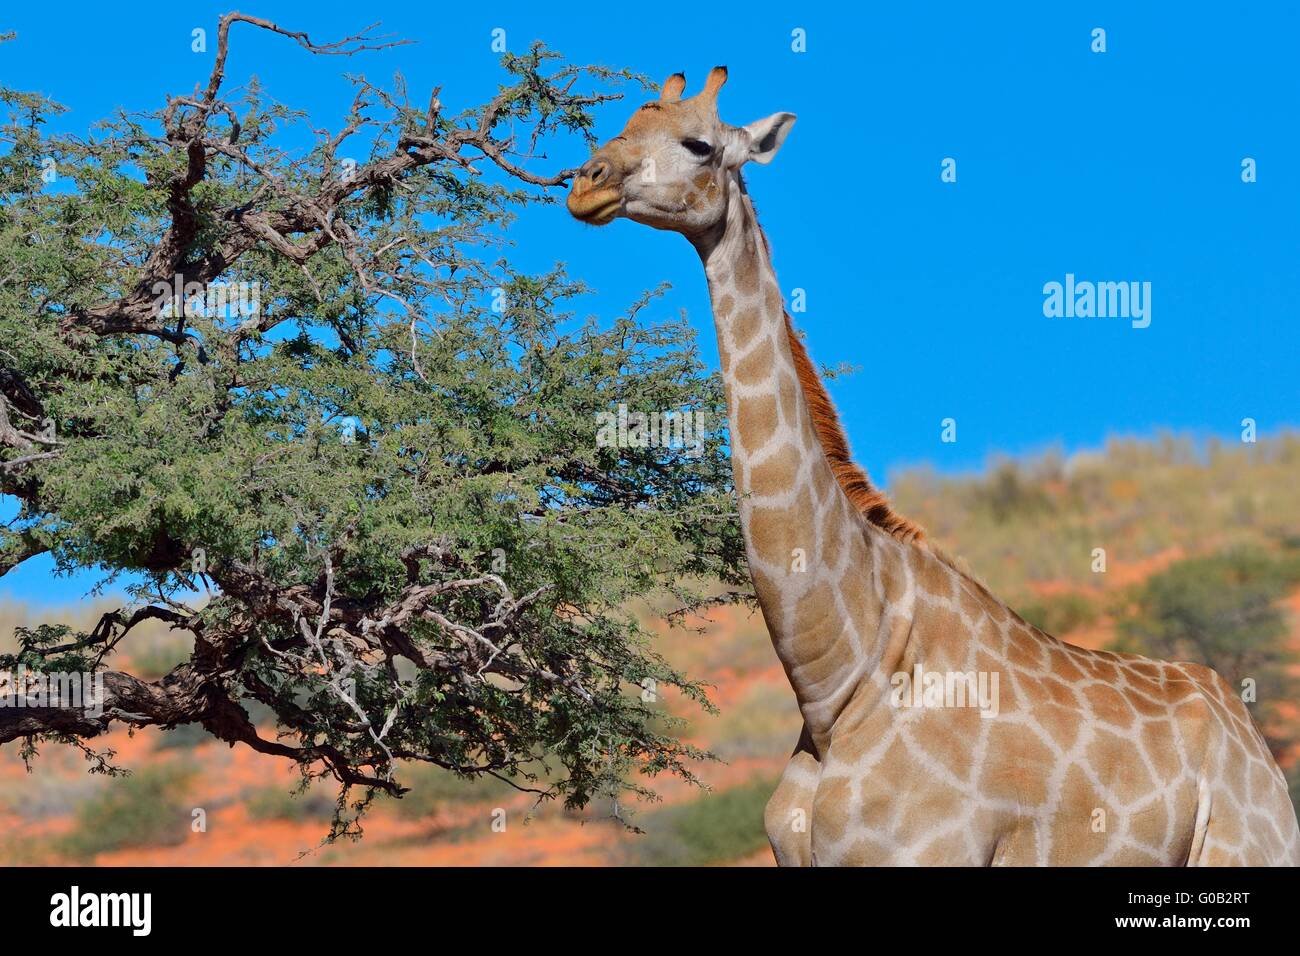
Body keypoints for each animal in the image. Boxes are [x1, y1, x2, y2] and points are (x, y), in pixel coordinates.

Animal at [566, 67, 1300, 868]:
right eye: (619, 129)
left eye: (698, 144)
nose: (585, 185)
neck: (837, 680)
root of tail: (1255, 748)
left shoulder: (928, 853)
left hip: (1246, 850)